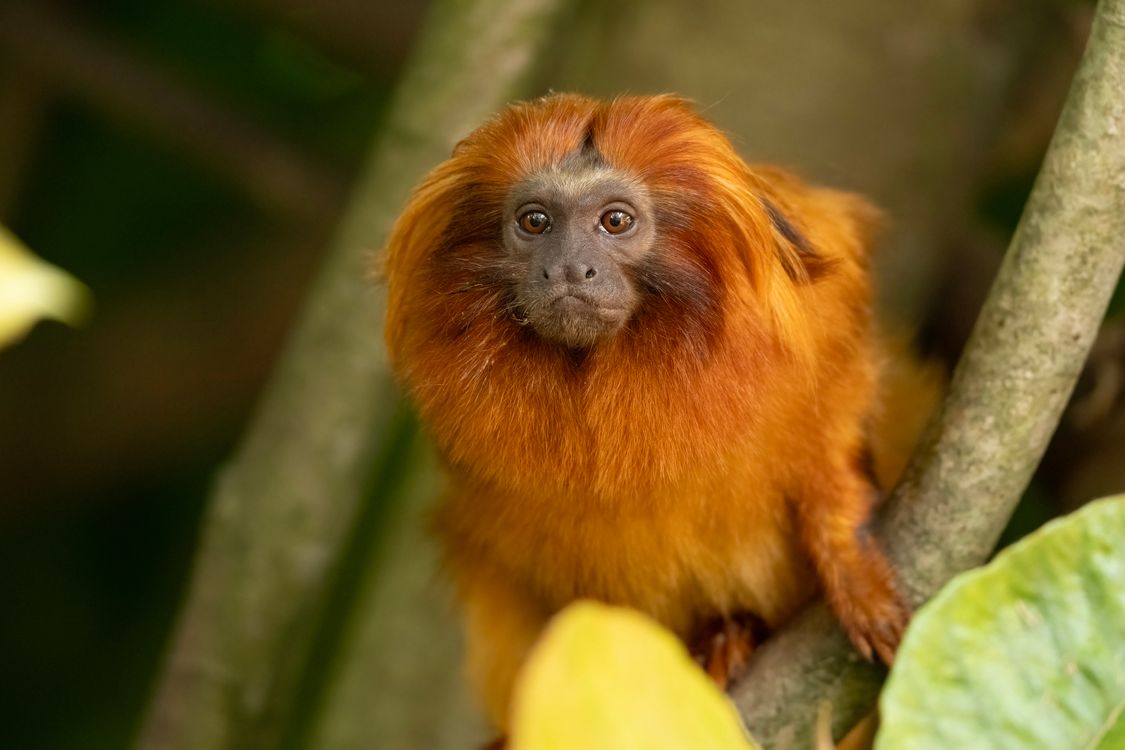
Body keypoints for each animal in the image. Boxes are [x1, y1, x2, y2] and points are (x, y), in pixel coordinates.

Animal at [382, 93, 911, 733]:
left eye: (615, 221)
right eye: (535, 222)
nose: (568, 269)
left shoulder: (818, 319)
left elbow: (838, 427)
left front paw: (852, 565)